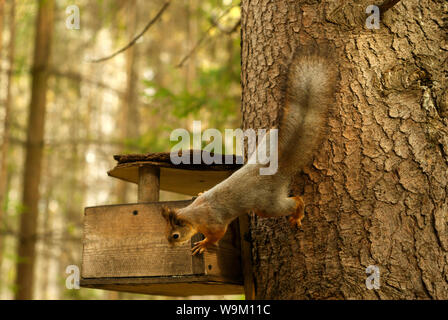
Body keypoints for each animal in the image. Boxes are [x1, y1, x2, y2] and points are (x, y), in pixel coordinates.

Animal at [161, 44, 336, 255]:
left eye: (175, 236)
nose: (170, 246)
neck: (195, 213)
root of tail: (274, 168)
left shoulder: (215, 223)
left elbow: (217, 235)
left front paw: (204, 244)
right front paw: (201, 192)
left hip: (268, 205)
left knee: (295, 201)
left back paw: (297, 214)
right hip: (265, 147)